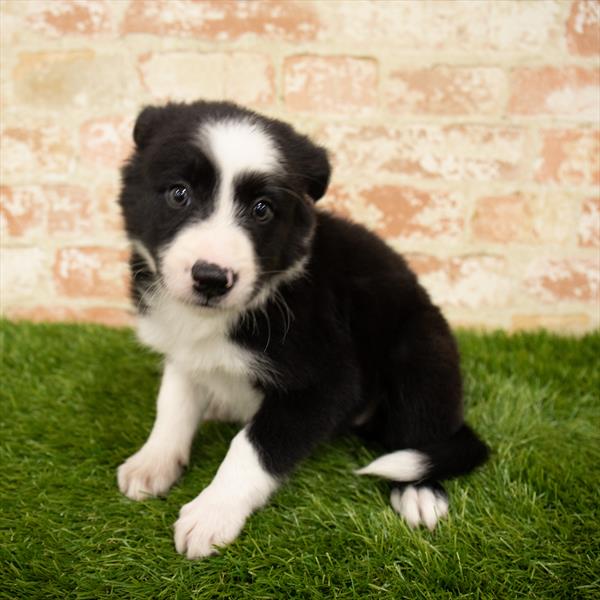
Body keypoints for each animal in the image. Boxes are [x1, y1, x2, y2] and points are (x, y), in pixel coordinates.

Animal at [116, 101, 488, 560]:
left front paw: (211, 513)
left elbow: (253, 446)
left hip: (423, 349)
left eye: (262, 209)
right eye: (179, 194)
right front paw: (152, 462)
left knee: (423, 430)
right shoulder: (184, 353)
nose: (211, 278)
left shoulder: (328, 381)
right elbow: (172, 405)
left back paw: (418, 492)